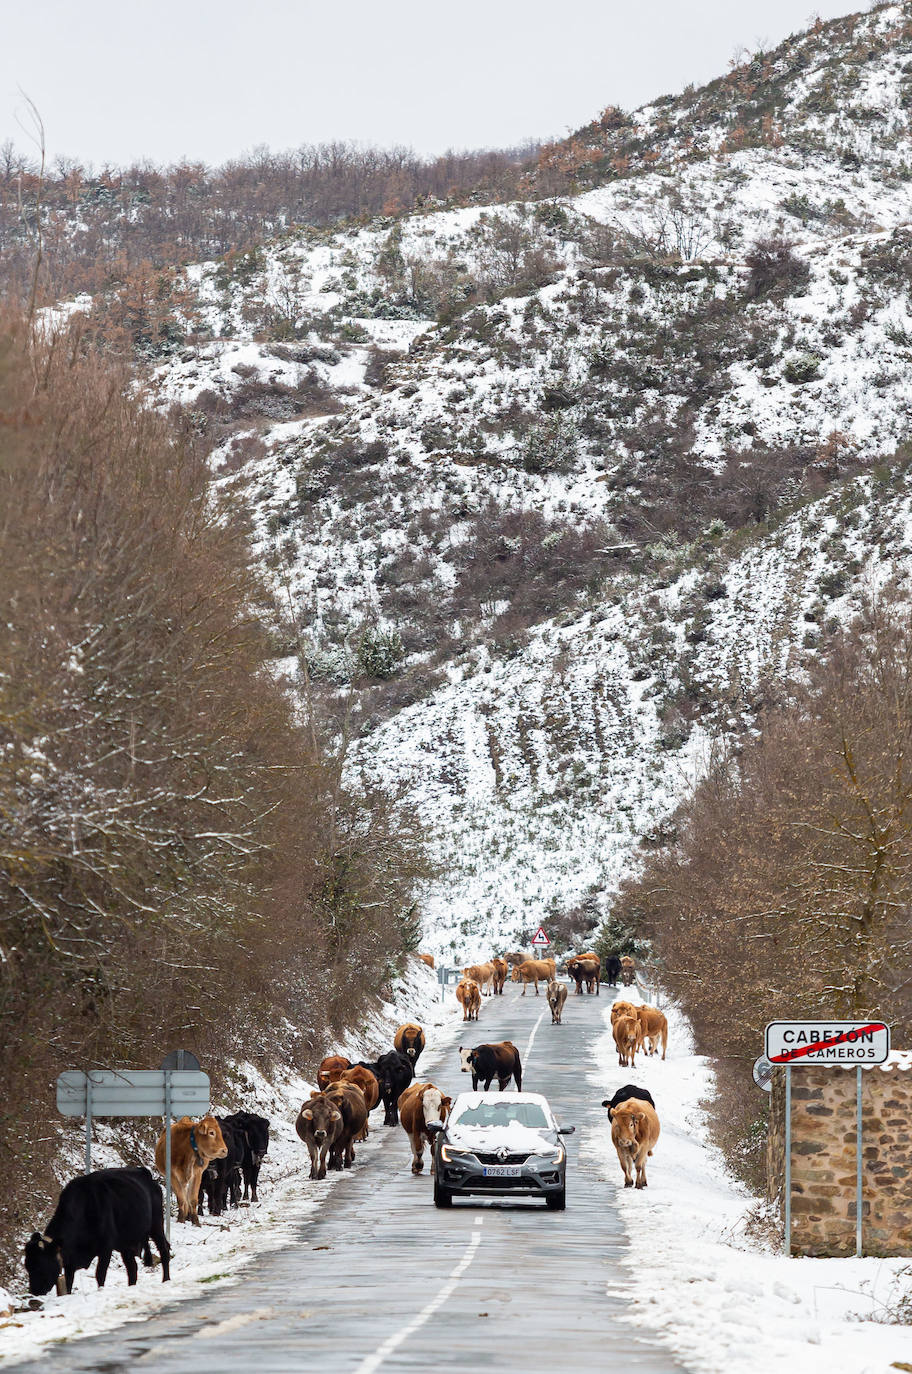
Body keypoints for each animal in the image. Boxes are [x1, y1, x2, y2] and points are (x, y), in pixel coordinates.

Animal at [24, 1165, 170, 1291]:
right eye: (27, 1266)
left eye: (41, 1264)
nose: (35, 1291)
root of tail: (143, 1171)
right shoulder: (70, 1260)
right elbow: (69, 1282)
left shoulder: (106, 1248)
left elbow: (100, 1274)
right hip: (126, 1242)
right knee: (132, 1267)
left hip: (156, 1225)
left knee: (164, 1249)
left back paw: (166, 1280)